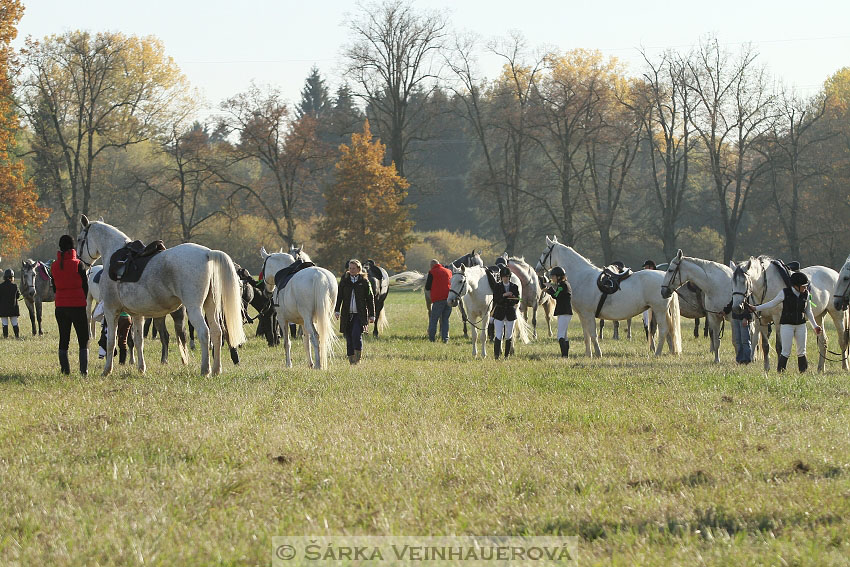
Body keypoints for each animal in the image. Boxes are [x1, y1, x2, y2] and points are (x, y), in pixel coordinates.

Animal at [75, 215, 245, 374]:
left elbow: (111, 341)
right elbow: (138, 341)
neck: (115, 256)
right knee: (217, 332)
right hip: (210, 306)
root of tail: (207, 253)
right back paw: (216, 369)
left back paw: (206, 369)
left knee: (205, 333)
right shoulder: (137, 314)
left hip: (194, 308)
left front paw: (107, 370)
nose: (82, 265)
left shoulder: (111, 311)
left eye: (79, 239)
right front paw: (141, 368)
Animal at [536, 237, 684, 358]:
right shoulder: (582, 315)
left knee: (664, 330)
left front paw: (598, 353)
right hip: (663, 311)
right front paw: (588, 354)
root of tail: (665, 280)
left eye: (544, 252)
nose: (537, 269)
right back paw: (671, 351)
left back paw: (657, 353)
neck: (582, 276)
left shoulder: (589, 314)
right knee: (670, 330)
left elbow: (593, 334)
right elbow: (586, 335)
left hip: (659, 310)